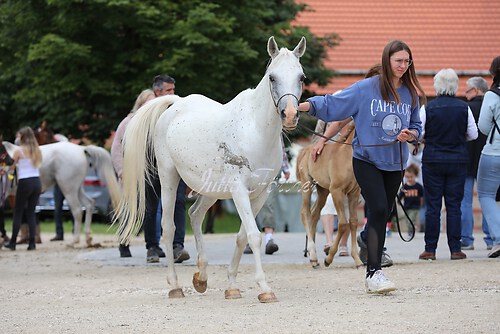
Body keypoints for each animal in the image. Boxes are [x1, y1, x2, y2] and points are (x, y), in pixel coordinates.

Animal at [115, 36, 306, 302]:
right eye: (272, 77)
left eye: (301, 77)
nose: (289, 115)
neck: (255, 129)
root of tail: (176, 104)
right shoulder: (239, 190)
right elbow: (254, 236)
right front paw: (265, 288)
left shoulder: (261, 193)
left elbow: (242, 237)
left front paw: (232, 285)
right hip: (168, 178)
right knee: (168, 228)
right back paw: (175, 286)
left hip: (210, 189)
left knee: (195, 214)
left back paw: (201, 277)